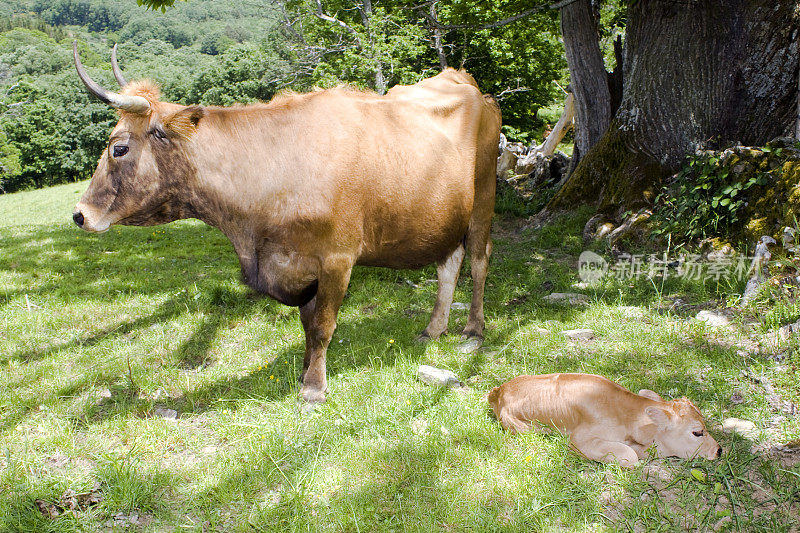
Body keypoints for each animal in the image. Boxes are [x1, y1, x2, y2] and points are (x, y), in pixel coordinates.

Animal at [73, 43, 500, 402]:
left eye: (119, 148)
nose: (79, 214)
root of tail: (462, 79)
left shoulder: (337, 259)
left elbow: (323, 325)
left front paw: (314, 388)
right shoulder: (295, 264)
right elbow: (307, 325)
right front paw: (305, 372)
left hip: (483, 199)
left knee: (479, 261)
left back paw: (473, 330)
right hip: (445, 216)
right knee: (449, 264)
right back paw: (434, 328)